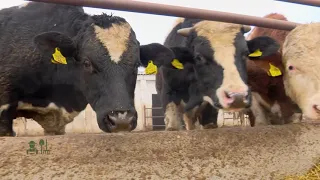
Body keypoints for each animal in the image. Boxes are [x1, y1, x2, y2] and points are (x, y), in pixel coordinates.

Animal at [142, 17, 280, 131]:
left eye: (245, 54)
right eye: (198, 57)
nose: (238, 96)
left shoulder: (209, 112)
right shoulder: (169, 96)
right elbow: (173, 125)